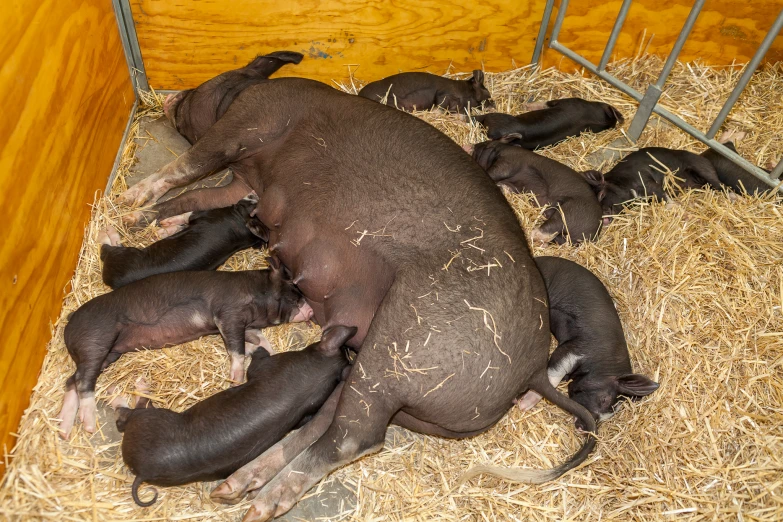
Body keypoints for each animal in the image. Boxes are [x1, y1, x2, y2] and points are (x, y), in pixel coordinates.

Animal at [118, 67, 596, 516]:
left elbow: (187, 167)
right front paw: (145, 221)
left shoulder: (248, 122)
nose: (173, 96)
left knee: (355, 437)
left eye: (208, 84)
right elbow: (194, 199)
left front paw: (126, 207)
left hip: (406, 342)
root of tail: (532, 371)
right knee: (326, 420)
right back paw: (234, 487)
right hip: (371, 359)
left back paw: (257, 505)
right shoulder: (244, 184)